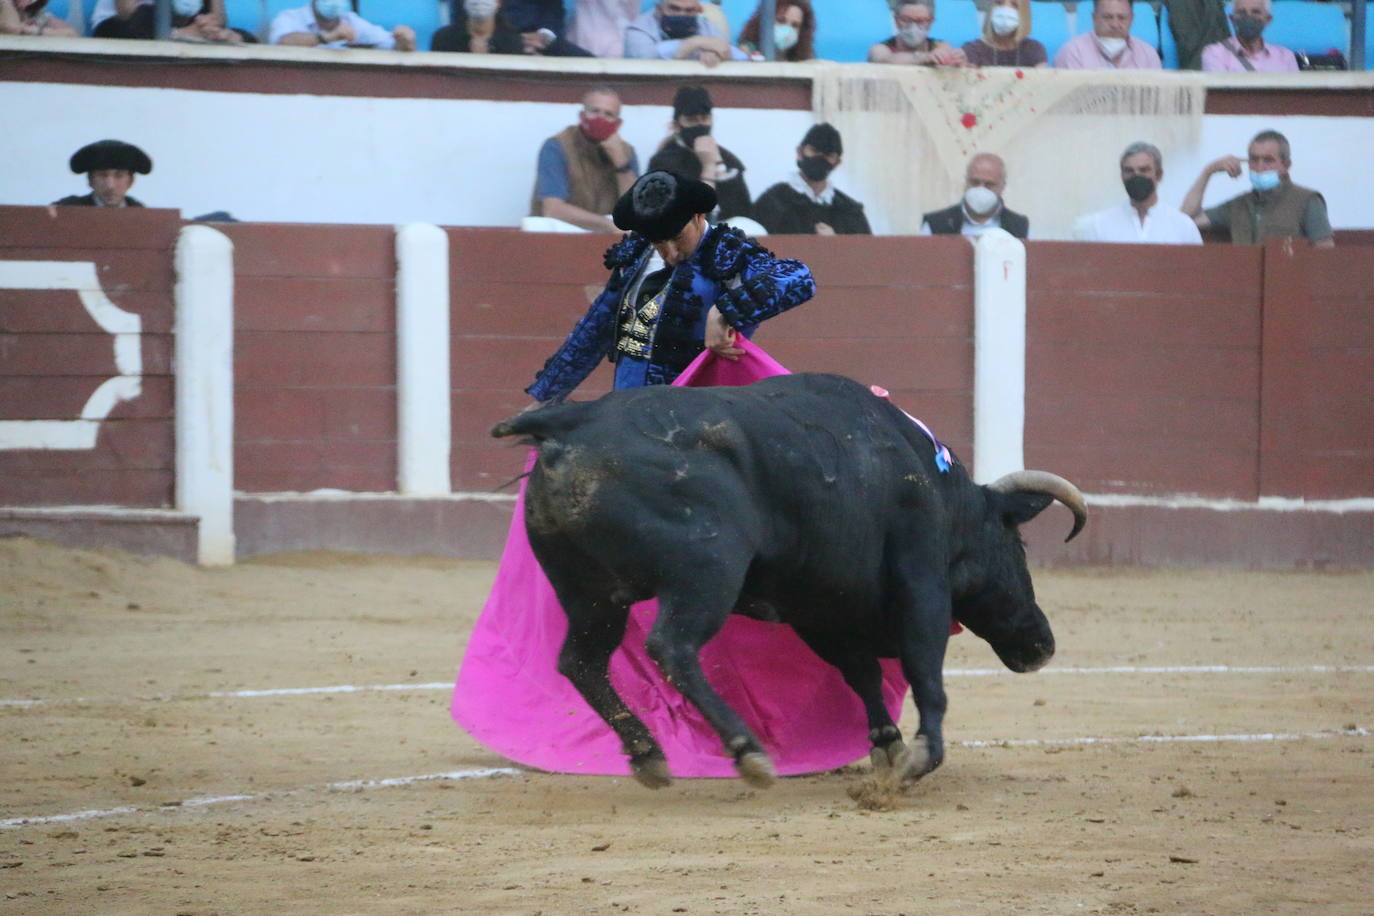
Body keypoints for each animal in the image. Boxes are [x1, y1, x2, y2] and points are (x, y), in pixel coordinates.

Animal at [494, 373, 1082, 791]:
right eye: (1017, 547)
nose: (1042, 644)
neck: (943, 496)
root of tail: (574, 421)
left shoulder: (821, 609)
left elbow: (863, 673)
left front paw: (888, 747)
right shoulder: (922, 585)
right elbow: (924, 669)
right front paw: (920, 757)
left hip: (589, 593)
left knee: (582, 661)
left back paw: (648, 755)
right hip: (708, 570)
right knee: (671, 646)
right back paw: (746, 749)